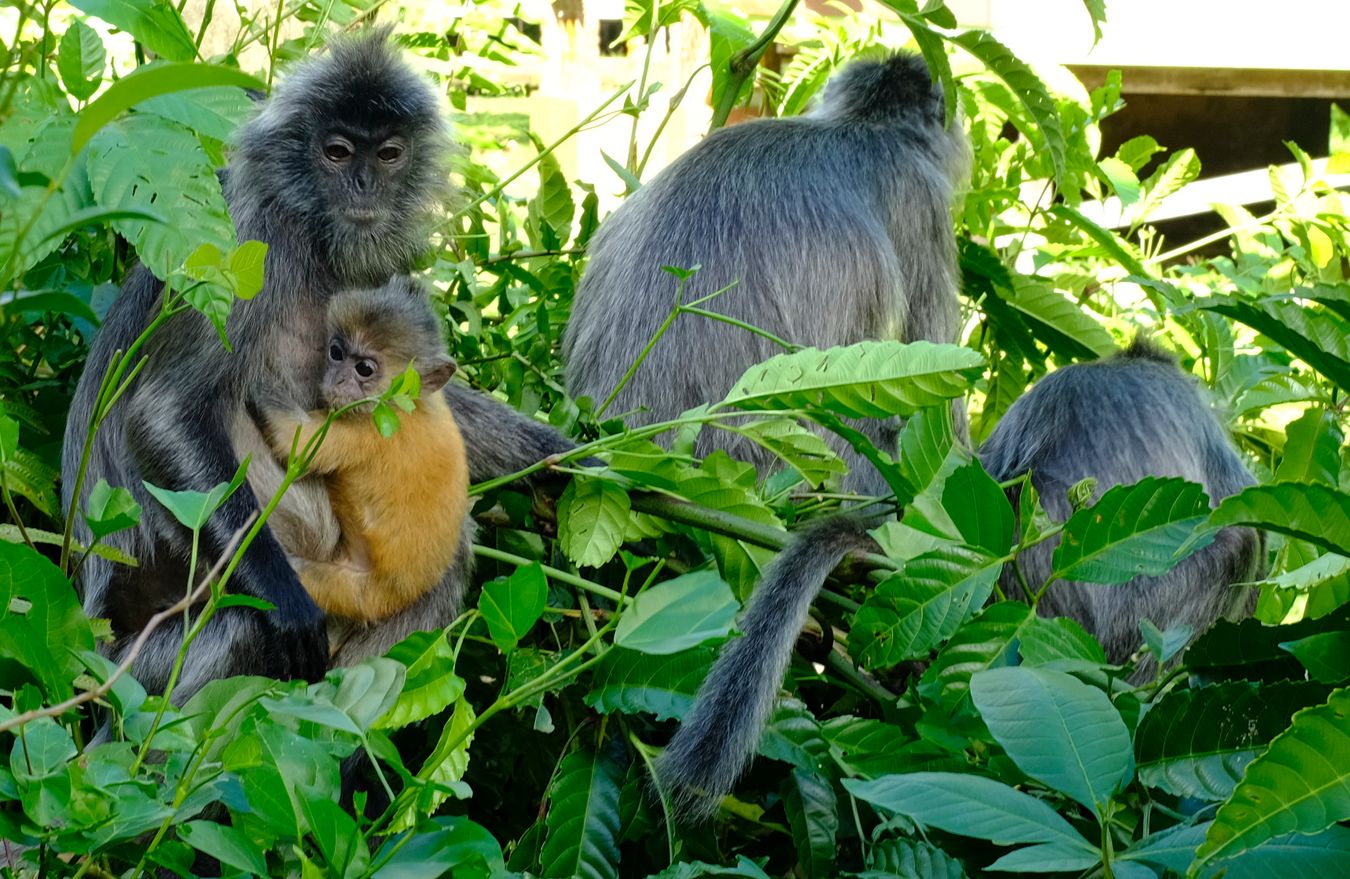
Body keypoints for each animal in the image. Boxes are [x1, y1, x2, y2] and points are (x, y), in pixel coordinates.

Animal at [260, 280, 472, 618]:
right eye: (335, 353)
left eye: (364, 369)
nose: (338, 380)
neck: (409, 406)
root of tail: (405, 593)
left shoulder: (371, 430)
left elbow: (294, 443)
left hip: (359, 592)